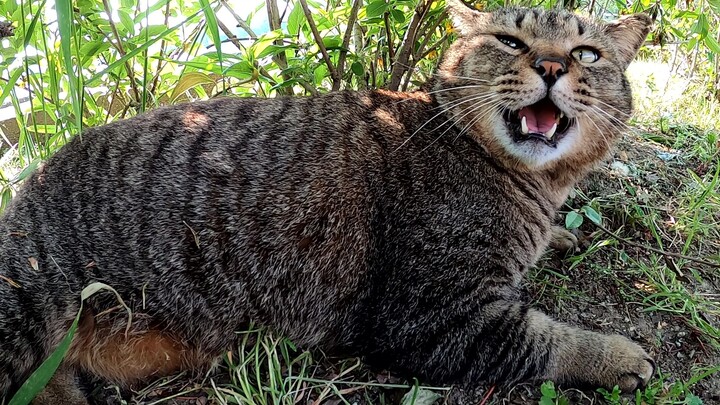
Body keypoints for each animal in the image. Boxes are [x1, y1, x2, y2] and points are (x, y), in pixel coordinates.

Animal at [0, 1, 652, 402]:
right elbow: (543, 339)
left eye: (587, 53)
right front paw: (615, 355)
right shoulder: (434, 315)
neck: (535, 183)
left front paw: (558, 235)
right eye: (510, 41)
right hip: (22, 308)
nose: (551, 64)